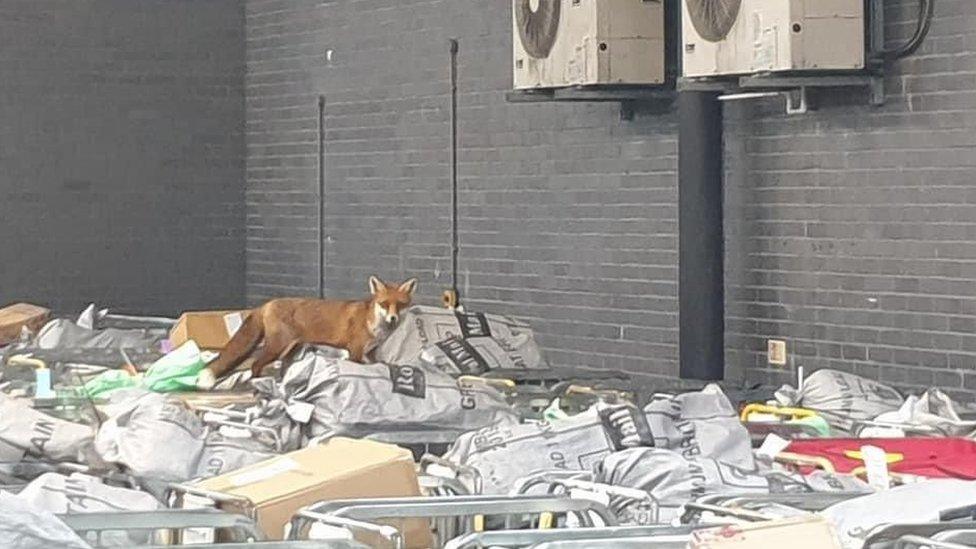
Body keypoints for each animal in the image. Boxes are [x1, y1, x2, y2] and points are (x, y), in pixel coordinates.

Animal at [196, 274, 418, 390]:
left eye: (400, 305)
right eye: (384, 304)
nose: (393, 318)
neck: (373, 322)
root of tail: (266, 305)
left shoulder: (371, 353)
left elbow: (379, 364)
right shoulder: (354, 351)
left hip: (290, 349)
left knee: (281, 367)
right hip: (276, 347)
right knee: (256, 364)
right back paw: (258, 383)